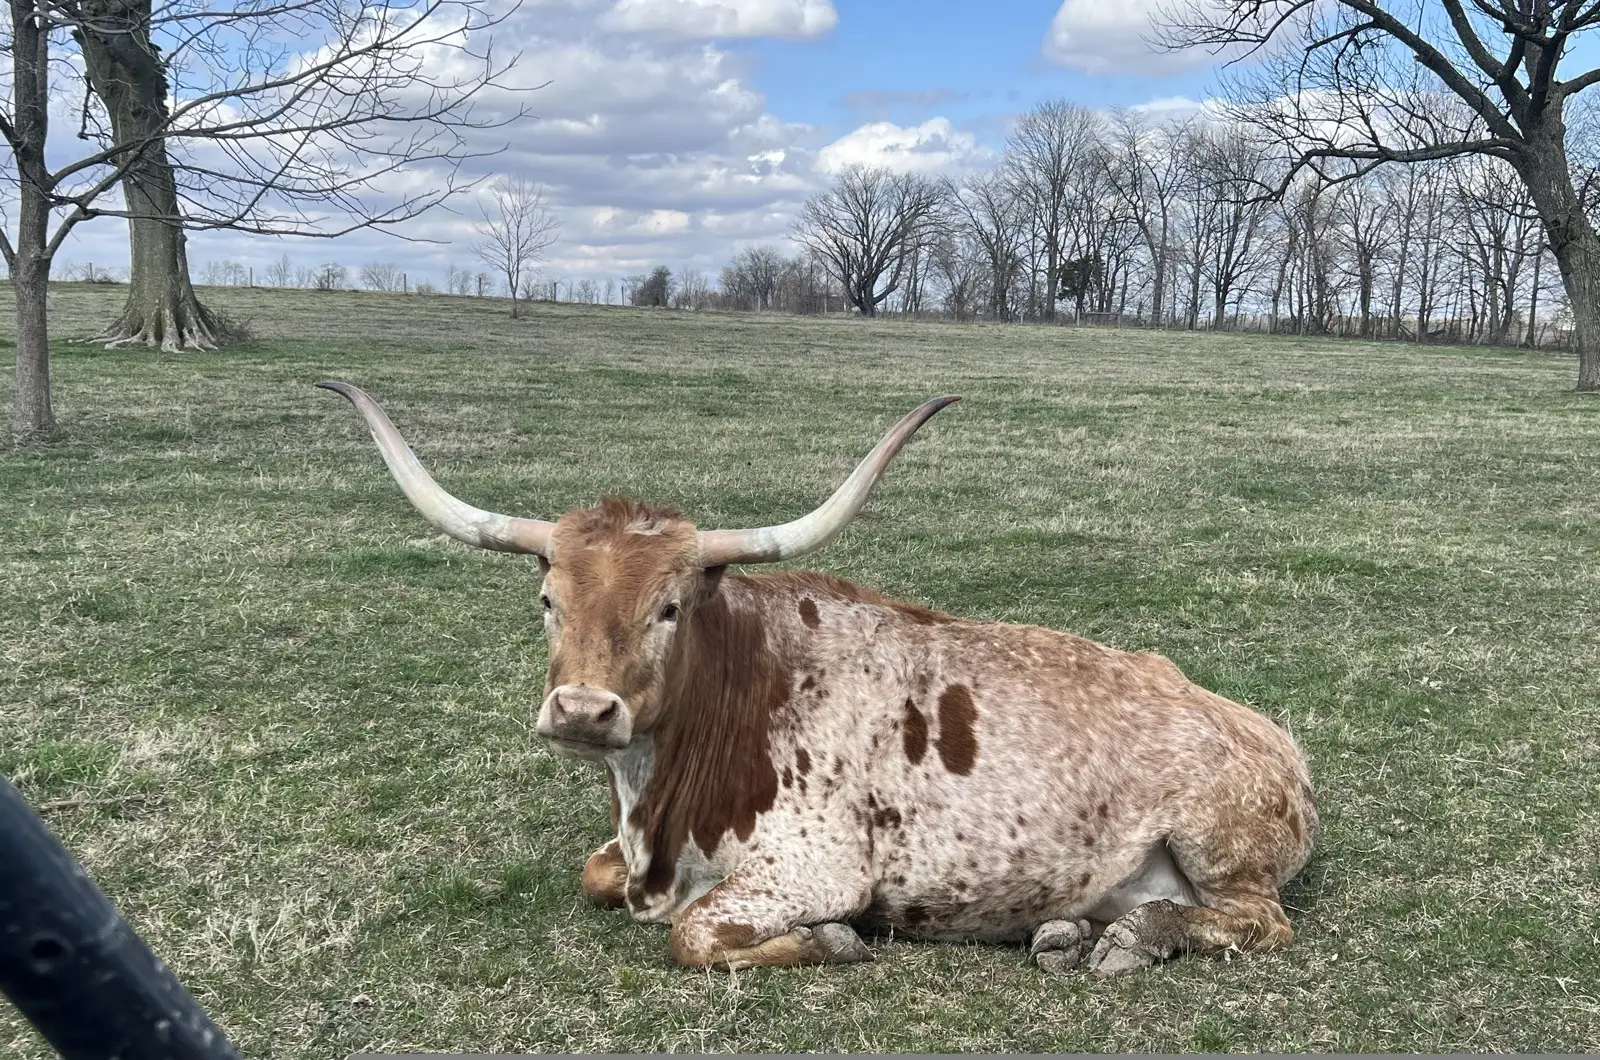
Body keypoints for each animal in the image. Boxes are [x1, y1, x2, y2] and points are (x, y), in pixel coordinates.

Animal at [317, 381, 1318, 977]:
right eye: (547, 598)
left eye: (670, 606)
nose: (582, 711)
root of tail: (1274, 736)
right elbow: (594, 875)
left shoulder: (810, 865)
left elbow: (694, 933)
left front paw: (831, 939)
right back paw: (1072, 930)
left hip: (1220, 848)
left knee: (1261, 922)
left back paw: (1132, 942)